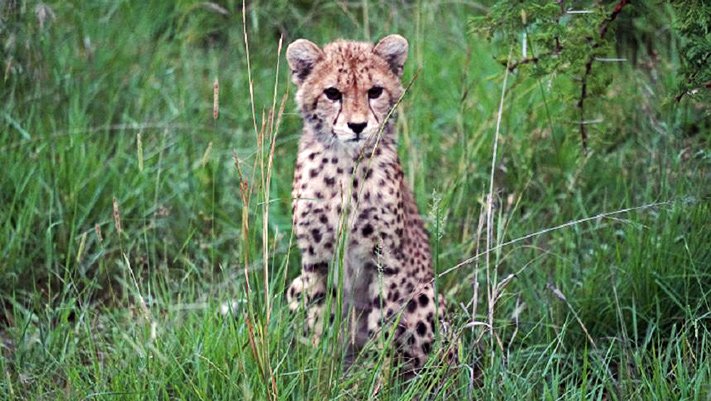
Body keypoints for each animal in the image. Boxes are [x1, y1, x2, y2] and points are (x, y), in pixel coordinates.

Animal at [284, 33, 450, 372]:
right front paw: (317, 368)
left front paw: (374, 374)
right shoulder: (316, 260)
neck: (345, 165)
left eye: (375, 91)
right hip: (297, 283)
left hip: (424, 292)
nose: (357, 126)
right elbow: (318, 319)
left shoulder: (386, 261)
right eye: (332, 93)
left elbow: (381, 327)